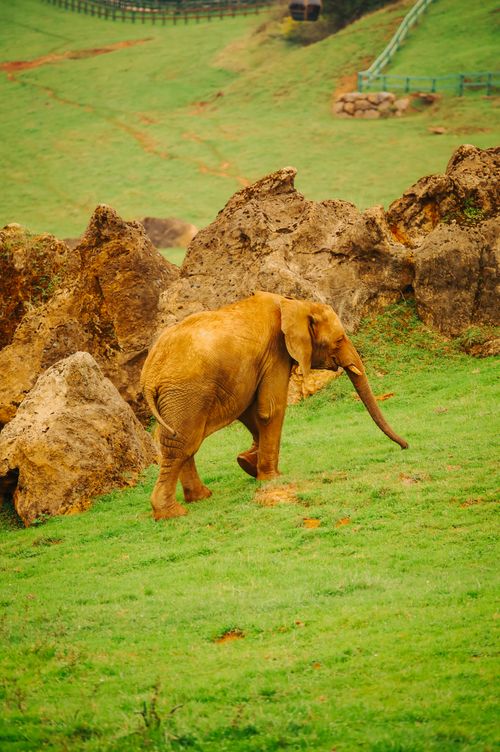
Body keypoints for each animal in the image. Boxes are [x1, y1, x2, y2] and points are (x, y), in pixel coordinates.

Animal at [141, 291, 408, 520]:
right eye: (339, 339)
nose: (405, 446)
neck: (295, 304)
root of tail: (149, 375)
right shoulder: (276, 352)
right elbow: (270, 408)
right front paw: (271, 478)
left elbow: (250, 411)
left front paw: (247, 463)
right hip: (187, 393)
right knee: (183, 442)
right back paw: (172, 513)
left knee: (183, 441)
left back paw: (200, 497)